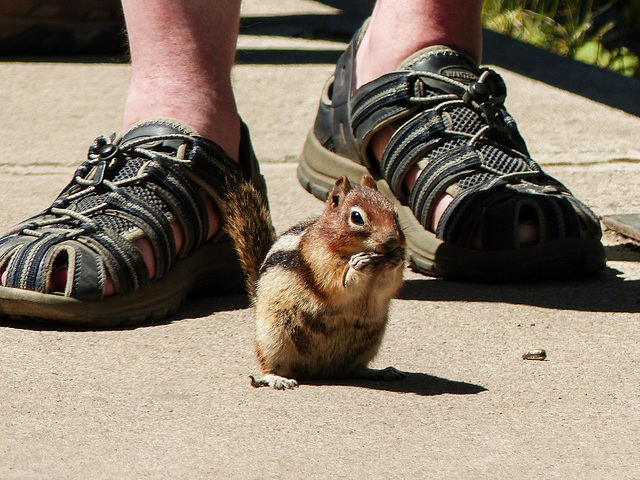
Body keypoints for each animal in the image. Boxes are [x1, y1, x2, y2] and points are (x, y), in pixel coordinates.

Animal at [225, 174, 404, 388]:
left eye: (395, 213)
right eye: (356, 217)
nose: (392, 241)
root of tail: (322, 371)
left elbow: (387, 286)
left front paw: (397, 258)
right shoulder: (319, 260)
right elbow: (335, 284)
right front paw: (357, 266)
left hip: (370, 343)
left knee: (354, 369)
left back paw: (380, 372)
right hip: (272, 336)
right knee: (269, 364)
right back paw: (276, 379)